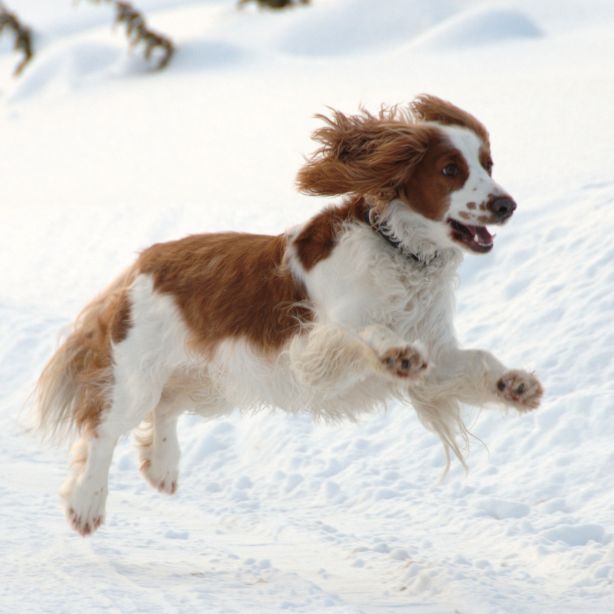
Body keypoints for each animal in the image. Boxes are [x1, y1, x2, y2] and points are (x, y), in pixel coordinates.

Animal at [35, 94, 544, 536]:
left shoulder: (436, 358)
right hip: (139, 375)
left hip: (213, 381)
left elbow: (478, 361)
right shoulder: (316, 348)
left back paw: (162, 466)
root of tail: (142, 262)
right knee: (104, 430)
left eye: (488, 164)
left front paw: (515, 385)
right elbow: (369, 332)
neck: (399, 251)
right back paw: (86, 504)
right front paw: (396, 353)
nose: (506, 205)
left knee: (168, 406)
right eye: (450, 169)